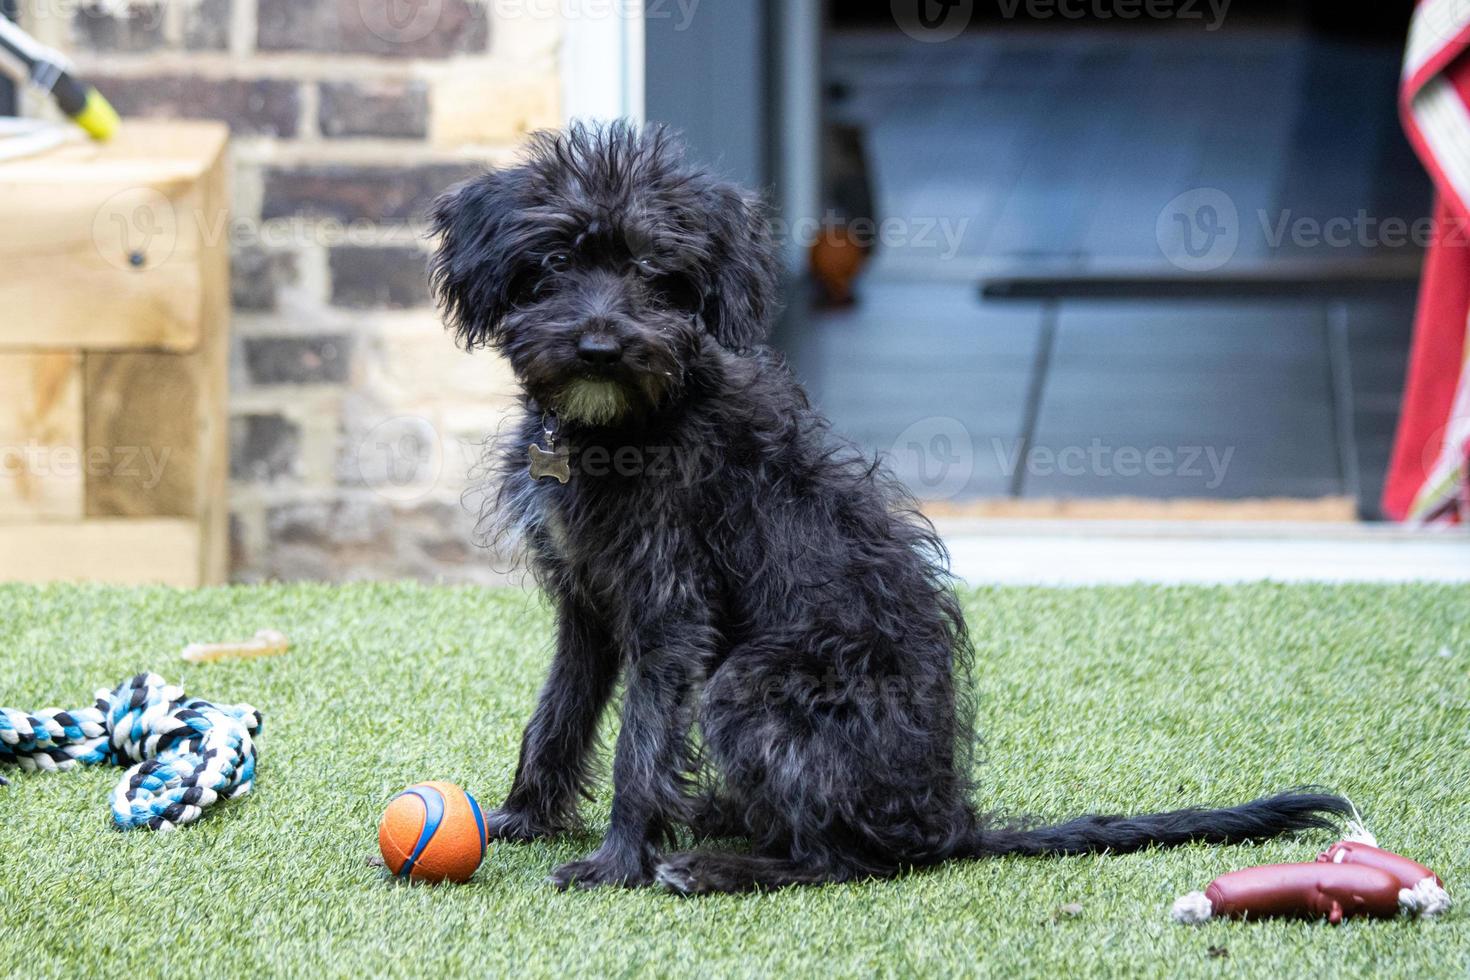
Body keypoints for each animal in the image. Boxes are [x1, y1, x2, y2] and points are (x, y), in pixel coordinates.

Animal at [429, 122, 1352, 899]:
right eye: (554, 262)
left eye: (656, 273)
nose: (599, 347)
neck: (619, 426)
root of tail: (946, 824)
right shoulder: (586, 599)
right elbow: (558, 712)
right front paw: (522, 817)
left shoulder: (671, 609)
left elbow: (641, 743)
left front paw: (617, 862)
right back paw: (718, 819)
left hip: (751, 685)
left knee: (842, 859)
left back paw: (716, 863)